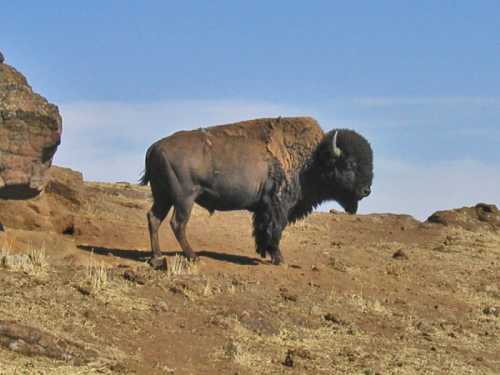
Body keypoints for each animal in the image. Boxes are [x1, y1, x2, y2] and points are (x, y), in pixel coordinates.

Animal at [139, 116, 374, 268]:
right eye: (350, 164)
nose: (366, 190)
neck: (313, 158)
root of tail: (155, 147)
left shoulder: (263, 208)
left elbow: (262, 230)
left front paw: (263, 253)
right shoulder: (277, 206)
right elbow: (274, 230)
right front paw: (279, 259)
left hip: (163, 197)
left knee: (154, 218)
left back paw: (157, 258)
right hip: (183, 198)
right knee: (177, 224)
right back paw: (193, 257)